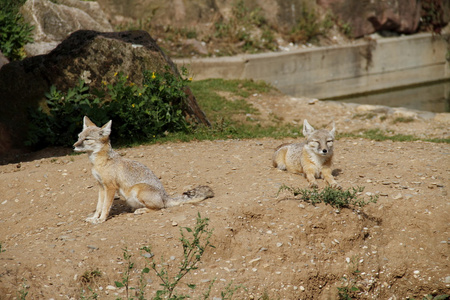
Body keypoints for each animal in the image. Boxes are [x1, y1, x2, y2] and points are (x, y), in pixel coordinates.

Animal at [74, 116, 214, 224]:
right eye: (79, 137)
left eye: (87, 139)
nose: (73, 146)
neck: (99, 162)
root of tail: (165, 197)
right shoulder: (101, 186)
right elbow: (99, 206)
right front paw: (94, 218)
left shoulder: (110, 187)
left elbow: (105, 206)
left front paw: (101, 219)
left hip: (138, 190)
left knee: (161, 207)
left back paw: (141, 210)